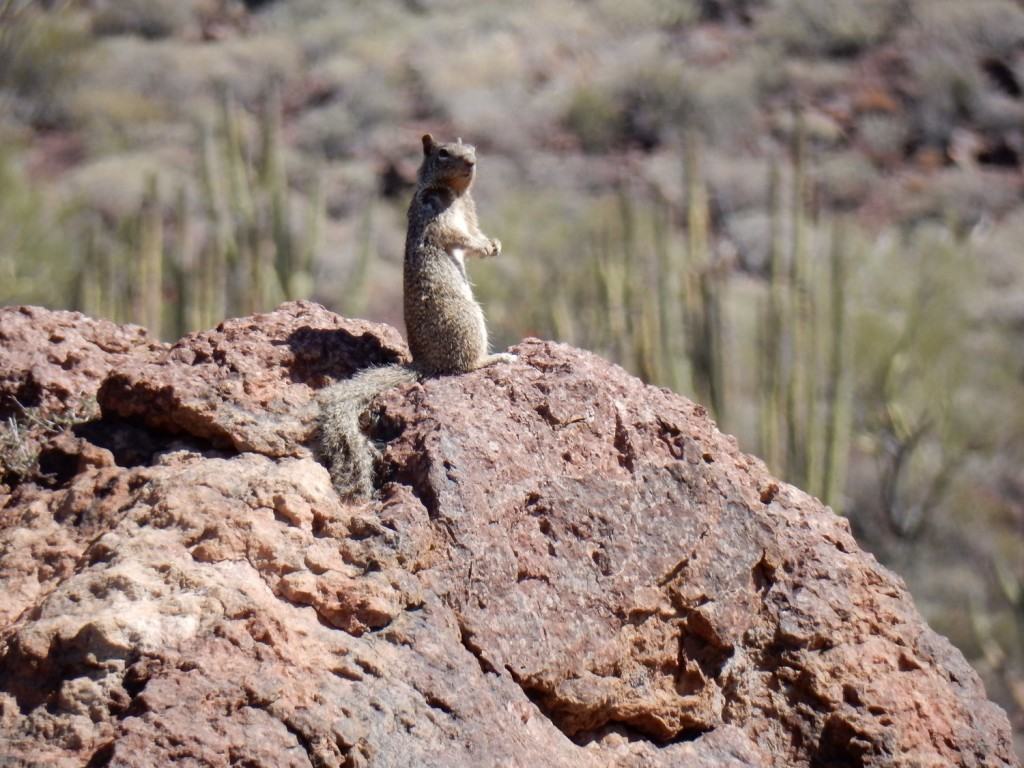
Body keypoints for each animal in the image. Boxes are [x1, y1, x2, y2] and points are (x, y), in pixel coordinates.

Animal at [317, 135, 516, 501]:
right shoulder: (435, 215)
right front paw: (484, 245)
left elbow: (473, 238)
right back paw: (495, 359)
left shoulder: (470, 214)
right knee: (462, 366)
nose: (471, 163)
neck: (456, 193)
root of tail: (423, 363)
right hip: (468, 319)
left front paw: (492, 245)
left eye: (473, 150)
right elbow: (456, 236)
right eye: (443, 153)